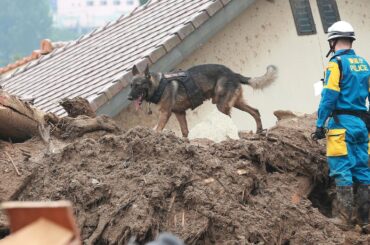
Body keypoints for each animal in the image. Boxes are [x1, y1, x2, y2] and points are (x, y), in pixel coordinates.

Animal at [129, 64, 276, 137]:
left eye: (137, 85)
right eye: (131, 86)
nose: (129, 97)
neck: (159, 84)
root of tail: (233, 73)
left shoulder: (165, 113)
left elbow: (158, 128)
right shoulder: (180, 113)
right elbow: (184, 132)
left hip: (222, 105)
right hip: (236, 102)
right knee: (255, 111)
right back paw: (259, 131)